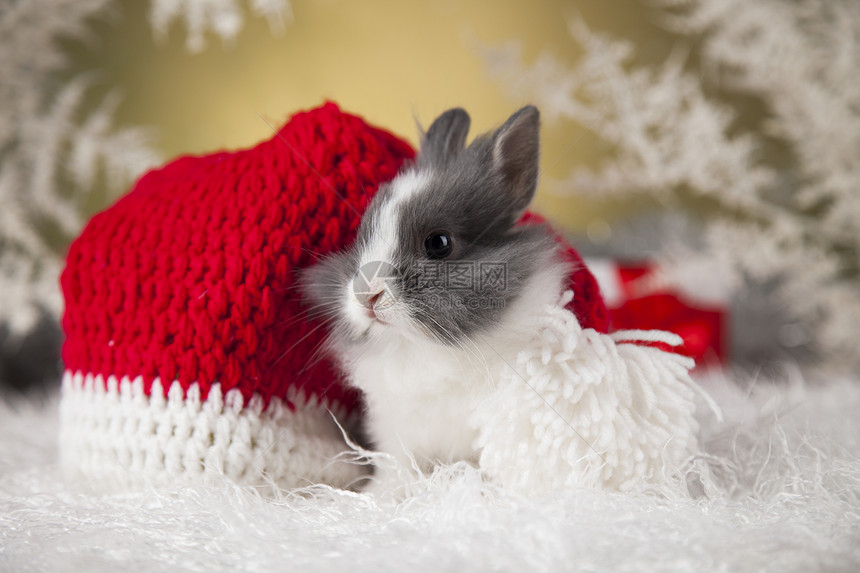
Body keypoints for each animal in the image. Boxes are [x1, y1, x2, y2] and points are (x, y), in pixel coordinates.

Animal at [302, 106, 572, 488]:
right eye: (360, 236)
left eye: (439, 243)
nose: (367, 296)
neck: (426, 347)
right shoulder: (395, 431)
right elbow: (396, 466)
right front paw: (382, 492)